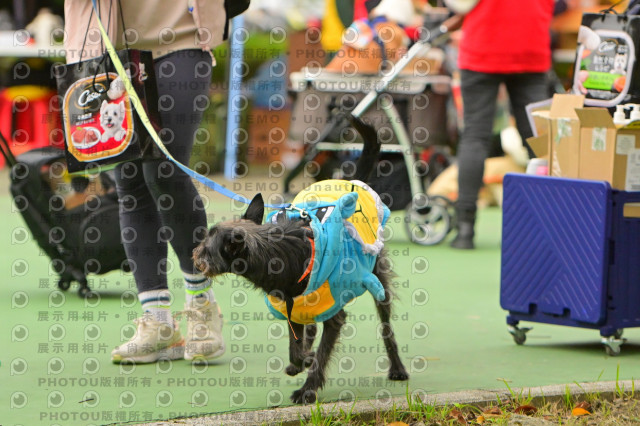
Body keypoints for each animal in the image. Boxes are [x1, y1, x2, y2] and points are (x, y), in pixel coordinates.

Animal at [192, 117, 409, 404]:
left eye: (208, 248)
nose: (195, 255)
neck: (280, 254)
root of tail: (351, 182)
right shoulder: (290, 303)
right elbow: (295, 346)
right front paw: (302, 359)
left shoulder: (331, 313)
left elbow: (321, 354)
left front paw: (307, 389)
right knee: (311, 328)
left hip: (378, 282)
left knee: (386, 328)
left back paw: (397, 368)